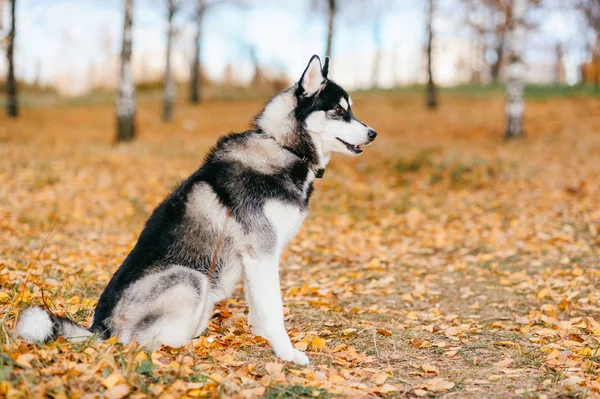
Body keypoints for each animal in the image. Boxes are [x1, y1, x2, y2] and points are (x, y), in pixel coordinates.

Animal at [16, 55, 376, 366]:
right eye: (338, 110)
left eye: (351, 110)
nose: (373, 133)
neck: (283, 147)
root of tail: (100, 328)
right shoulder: (261, 252)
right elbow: (274, 309)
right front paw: (287, 352)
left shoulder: (255, 258)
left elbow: (259, 307)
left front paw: (261, 337)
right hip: (191, 278)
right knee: (138, 342)